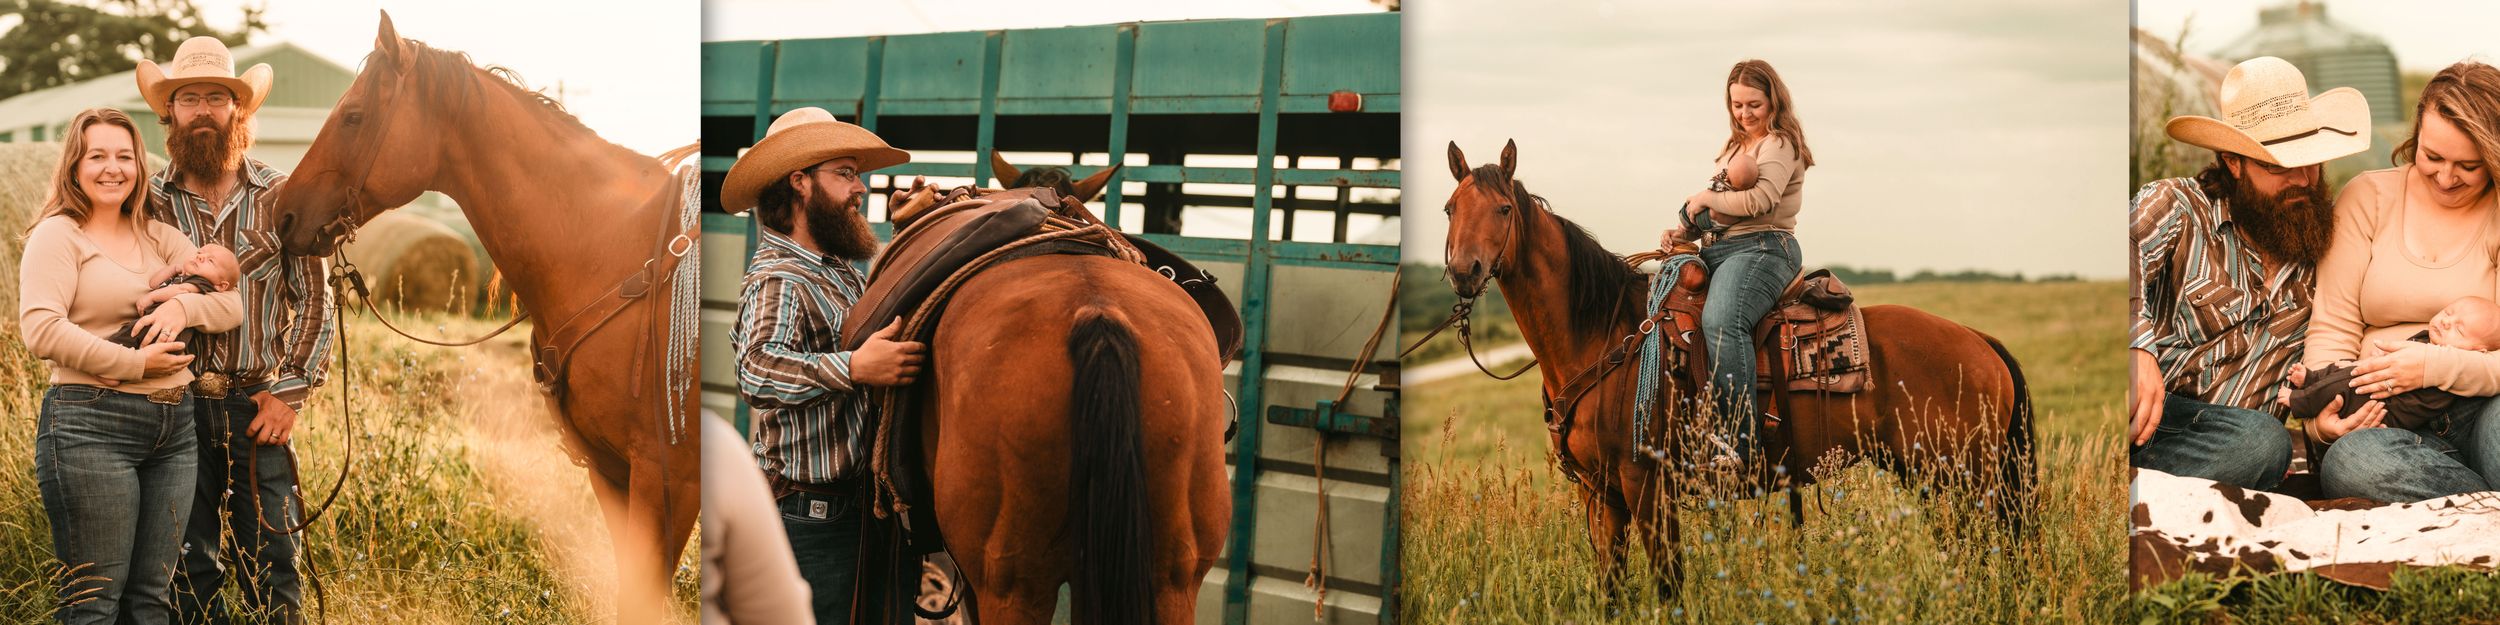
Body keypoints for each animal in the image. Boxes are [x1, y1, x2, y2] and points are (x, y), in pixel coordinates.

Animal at [1437, 139, 2035, 598]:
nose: (1464, 271)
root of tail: (1980, 342)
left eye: (1503, 209)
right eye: (1449, 208)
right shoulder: (1599, 493)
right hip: (1936, 479)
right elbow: (1611, 590)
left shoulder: (1646, 484)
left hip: (1963, 480)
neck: (1603, 337)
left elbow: (1668, 587)